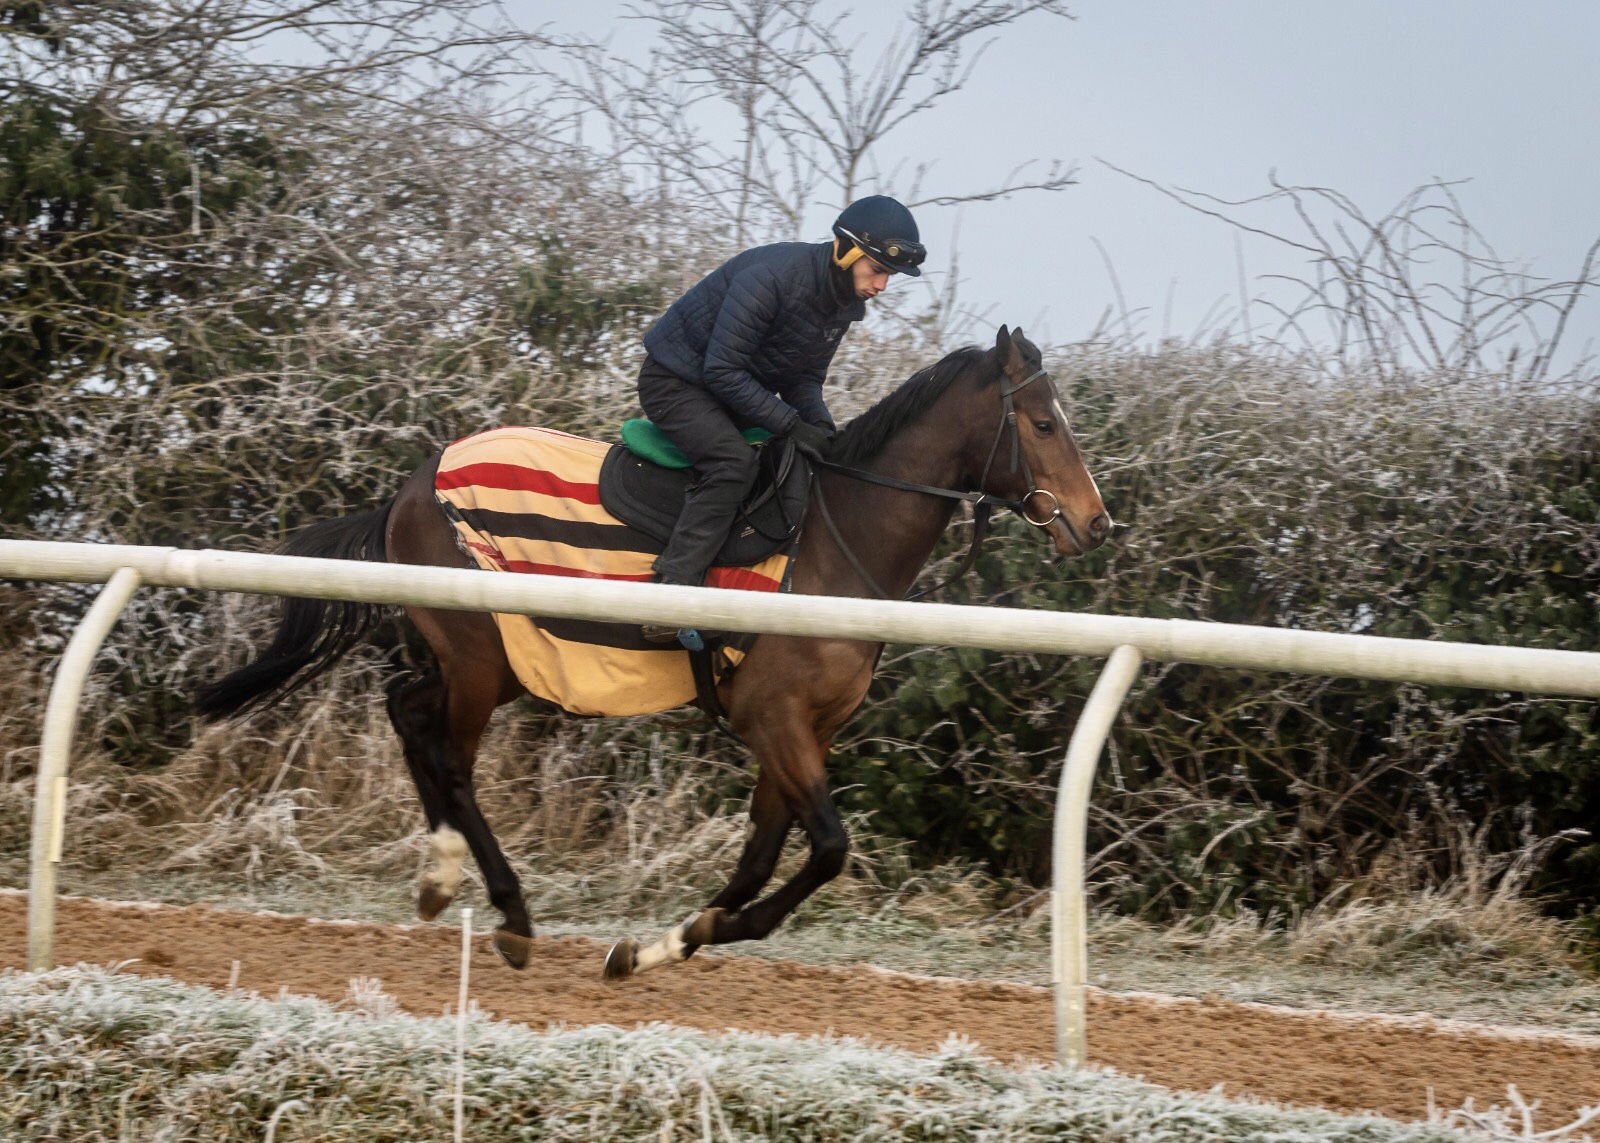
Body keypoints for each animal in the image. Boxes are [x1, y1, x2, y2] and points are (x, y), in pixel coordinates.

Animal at [195, 324, 1111, 976]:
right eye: (1042, 421)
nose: (1096, 523)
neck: (836, 540)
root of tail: (413, 484)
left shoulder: (803, 728)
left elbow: (764, 854)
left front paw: (667, 942)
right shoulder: (772, 716)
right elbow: (828, 847)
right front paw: (689, 932)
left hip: (491, 663)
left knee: (408, 713)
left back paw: (441, 875)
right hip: (484, 655)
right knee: (448, 755)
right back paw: (509, 911)